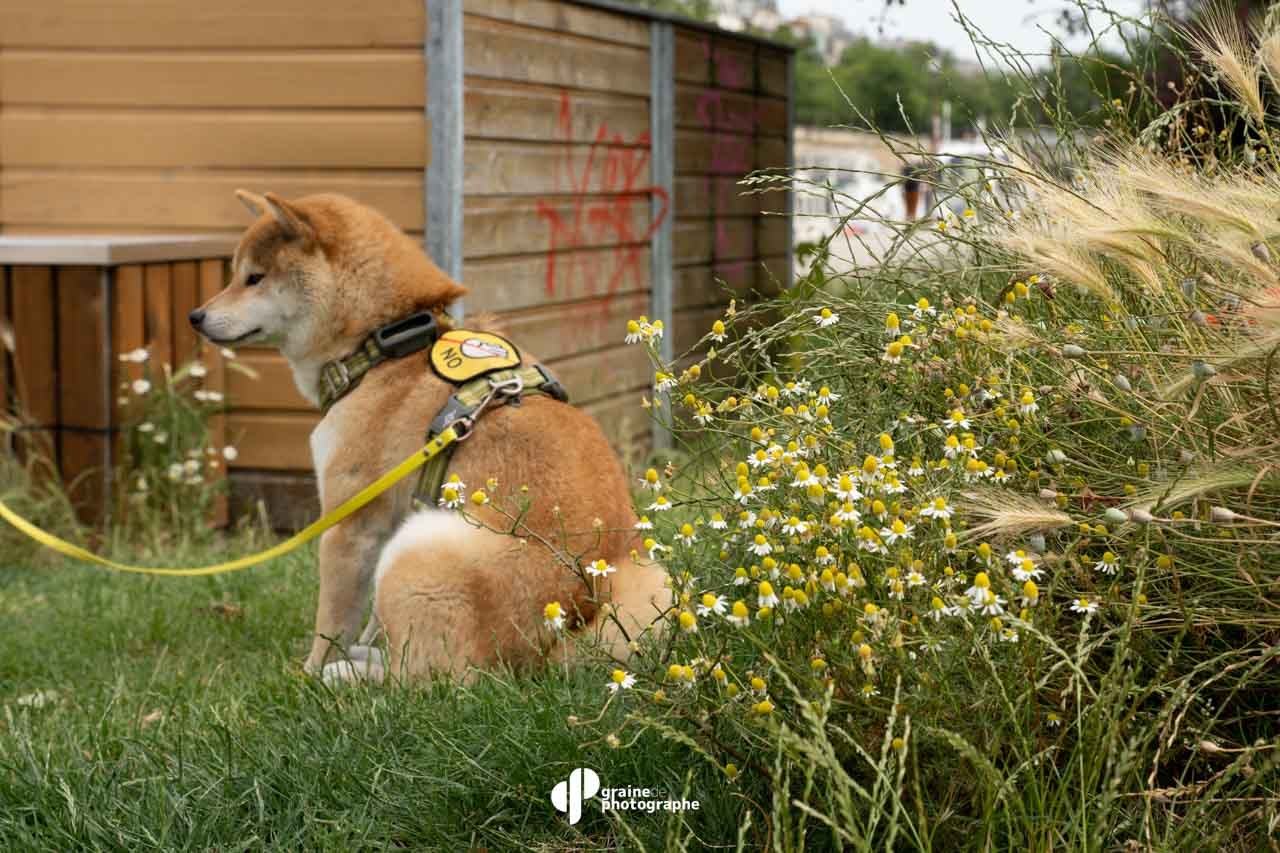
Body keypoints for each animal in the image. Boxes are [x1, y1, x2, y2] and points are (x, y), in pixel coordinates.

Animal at [192, 190, 670, 676]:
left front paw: (307, 675)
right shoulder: (392, 517)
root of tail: (571, 625)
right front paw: (359, 645)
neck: (381, 349)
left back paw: (345, 676)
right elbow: (373, 617)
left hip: (422, 544)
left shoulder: (351, 527)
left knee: (422, 677)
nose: (196, 315)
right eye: (236, 274)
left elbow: (331, 625)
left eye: (254, 278)